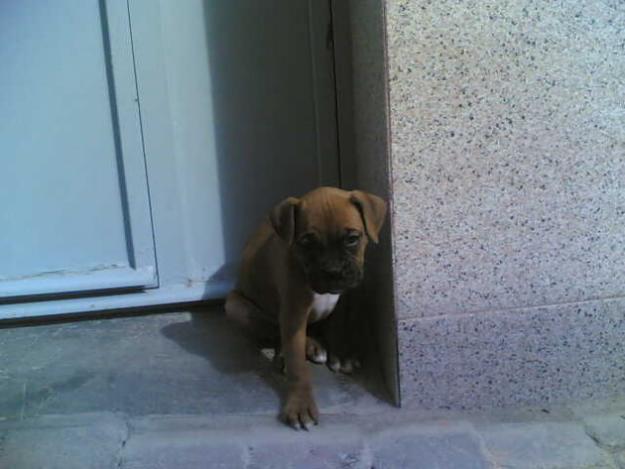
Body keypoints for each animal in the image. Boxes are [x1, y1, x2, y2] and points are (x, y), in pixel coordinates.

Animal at [224, 186, 386, 428]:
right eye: (307, 242)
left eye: (352, 239)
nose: (333, 271)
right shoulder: (293, 315)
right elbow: (297, 364)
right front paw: (300, 404)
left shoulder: (341, 297)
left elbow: (338, 327)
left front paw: (341, 354)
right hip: (234, 306)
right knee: (277, 335)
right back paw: (299, 351)